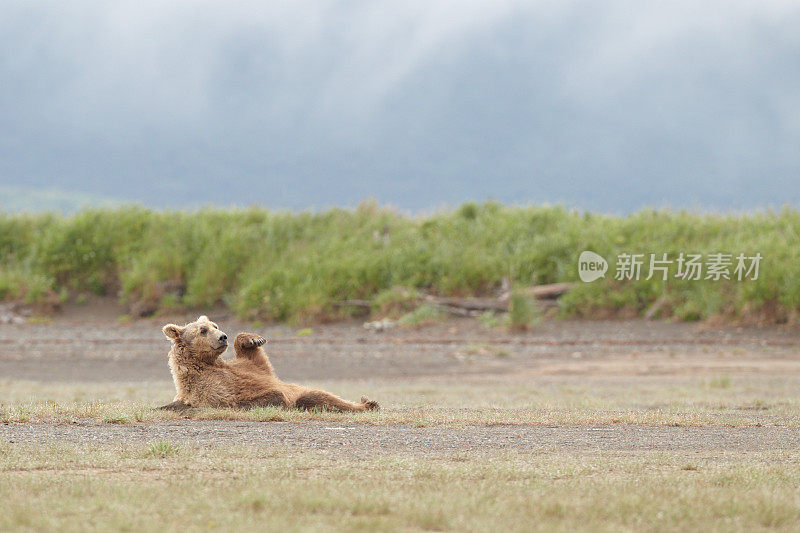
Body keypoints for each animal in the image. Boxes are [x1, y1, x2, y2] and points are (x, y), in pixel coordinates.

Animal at [160, 316, 382, 412]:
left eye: (215, 325)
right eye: (203, 330)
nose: (222, 336)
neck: (209, 362)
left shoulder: (247, 368)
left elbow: (258, 361)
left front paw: (253, 339)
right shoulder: (212, 387)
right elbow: (244, 397)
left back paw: (365, 400)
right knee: (314, 397)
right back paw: (368, 404)